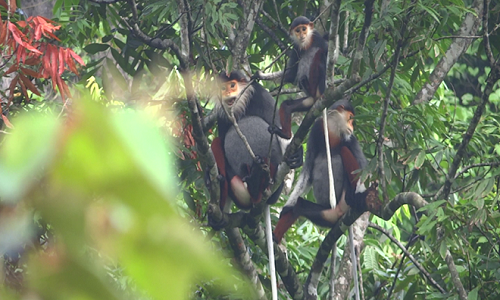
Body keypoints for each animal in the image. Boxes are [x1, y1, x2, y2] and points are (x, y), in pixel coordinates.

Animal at [272, 101, 370, 244]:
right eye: (351, 118)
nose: (352, 126)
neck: (332, 132)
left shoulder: (350, 138)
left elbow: (364, 168)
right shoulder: (316, 129)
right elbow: (307, 172)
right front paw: (287, 207)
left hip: (344, 201)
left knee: (345, 150)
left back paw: (354, 196)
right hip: (328, 215)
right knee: (299, 205)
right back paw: (275, 237)